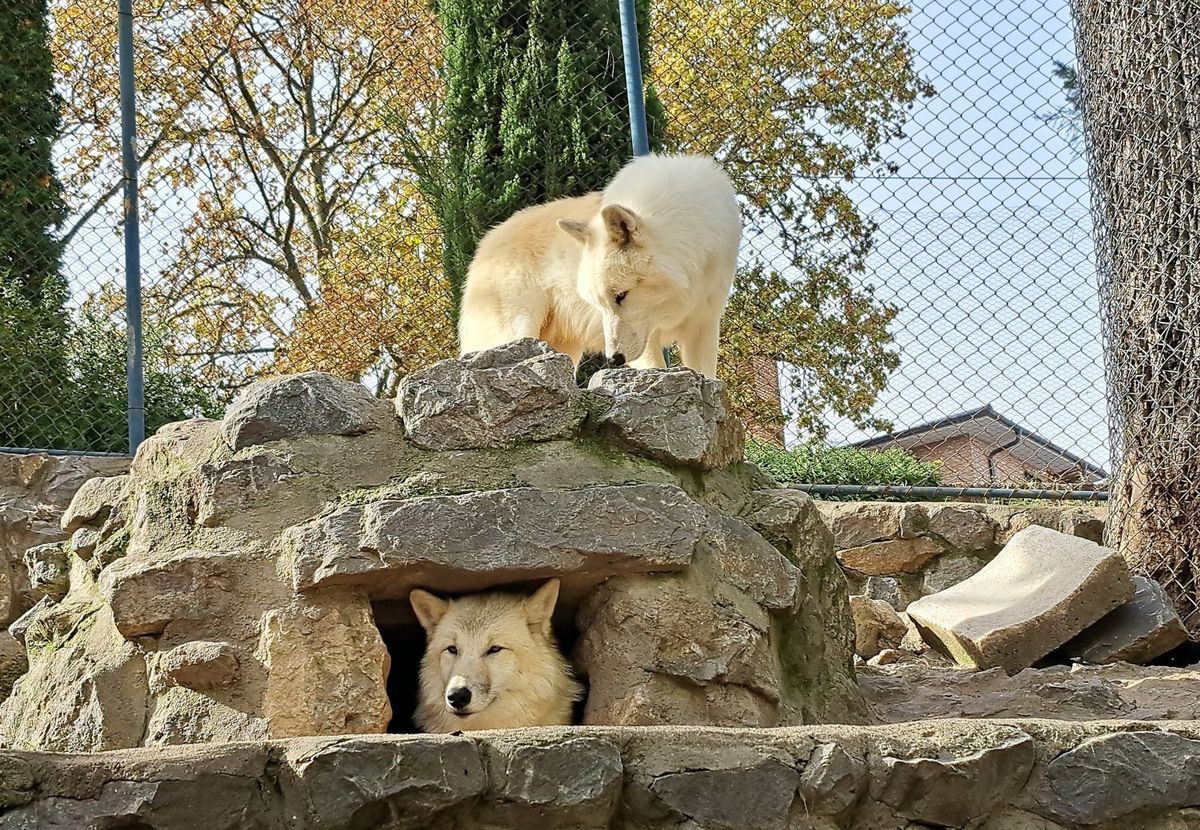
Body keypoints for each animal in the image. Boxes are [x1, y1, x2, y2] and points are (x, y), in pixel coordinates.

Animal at [457, 153, 741, 378]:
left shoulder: (704, 324)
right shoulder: (648, 335)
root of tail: (486, 244)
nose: (613, 359)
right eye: (600, 303)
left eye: (621, 295)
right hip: (518, 332)